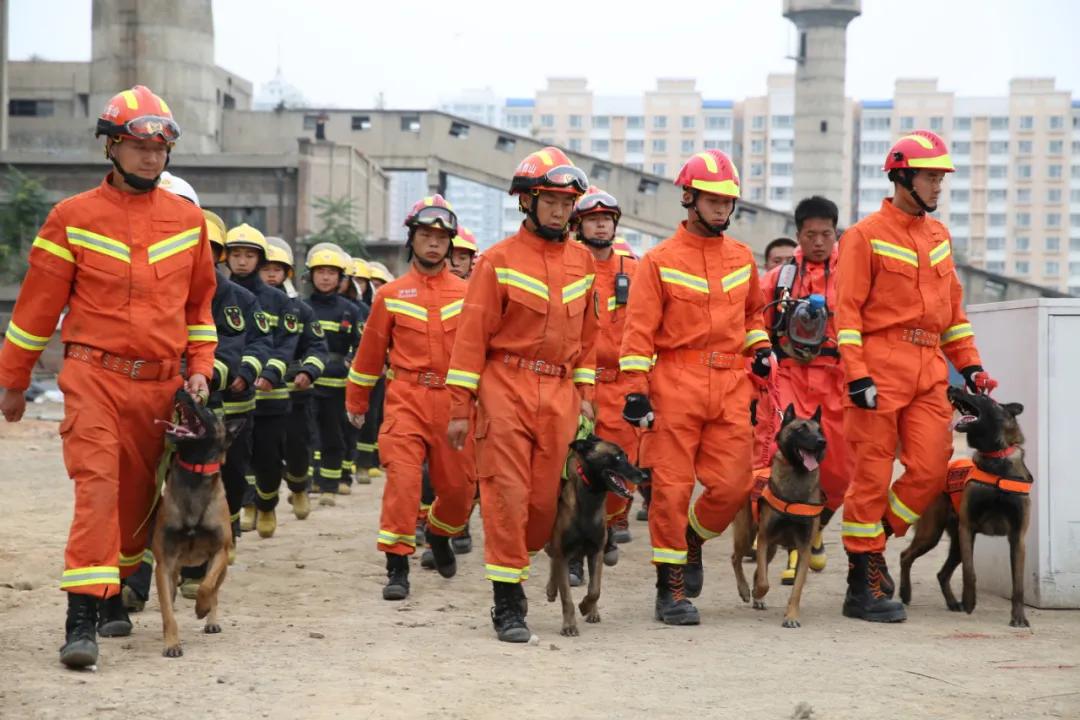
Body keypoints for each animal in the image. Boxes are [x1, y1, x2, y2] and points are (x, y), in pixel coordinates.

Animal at [149, 390, 237, 656]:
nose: (182, 390)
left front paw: (201, 609)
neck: (194, 473)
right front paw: (171, 643)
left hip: (222, 565)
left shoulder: (219, 552)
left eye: (206, 409)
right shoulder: (164, 564)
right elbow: (168, 611)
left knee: (214, 589)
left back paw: (211, 620)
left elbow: (206, 588)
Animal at [544, 433, 643, 634]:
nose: (643, 474)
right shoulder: (563, 554)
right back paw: (551, 589)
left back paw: (592, 611)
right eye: (618, 457)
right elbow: (567, 598)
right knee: (553, 560)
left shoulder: (596, 552)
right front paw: (569, 625)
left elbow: (594, 590)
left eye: (627, 456)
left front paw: (586, 607)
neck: (590, 500)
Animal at [730, 408, 829, 626]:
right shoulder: (764, 539)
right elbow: (763, 582)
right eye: (801, 428)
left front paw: (791, 616)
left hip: (772, 548)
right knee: (736, 559)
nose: (822, 441)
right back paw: (745, 589)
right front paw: (757, 592)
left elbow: (796, 589)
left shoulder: (803, 549)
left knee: (759, 567)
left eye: (820, 429)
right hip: (746, 536)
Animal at [898, 386, 1032, 626]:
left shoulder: (1017, 538)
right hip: (932, 534)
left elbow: (1018, 585)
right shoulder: (968, 528)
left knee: (942, 574)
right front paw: (969, 600)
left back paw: (952, 602)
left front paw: (1018, 617)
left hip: (955, 545)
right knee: (906, 556)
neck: (996, 461)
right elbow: (969, 571)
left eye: (982, 396)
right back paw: (906, 593)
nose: (951, 387)